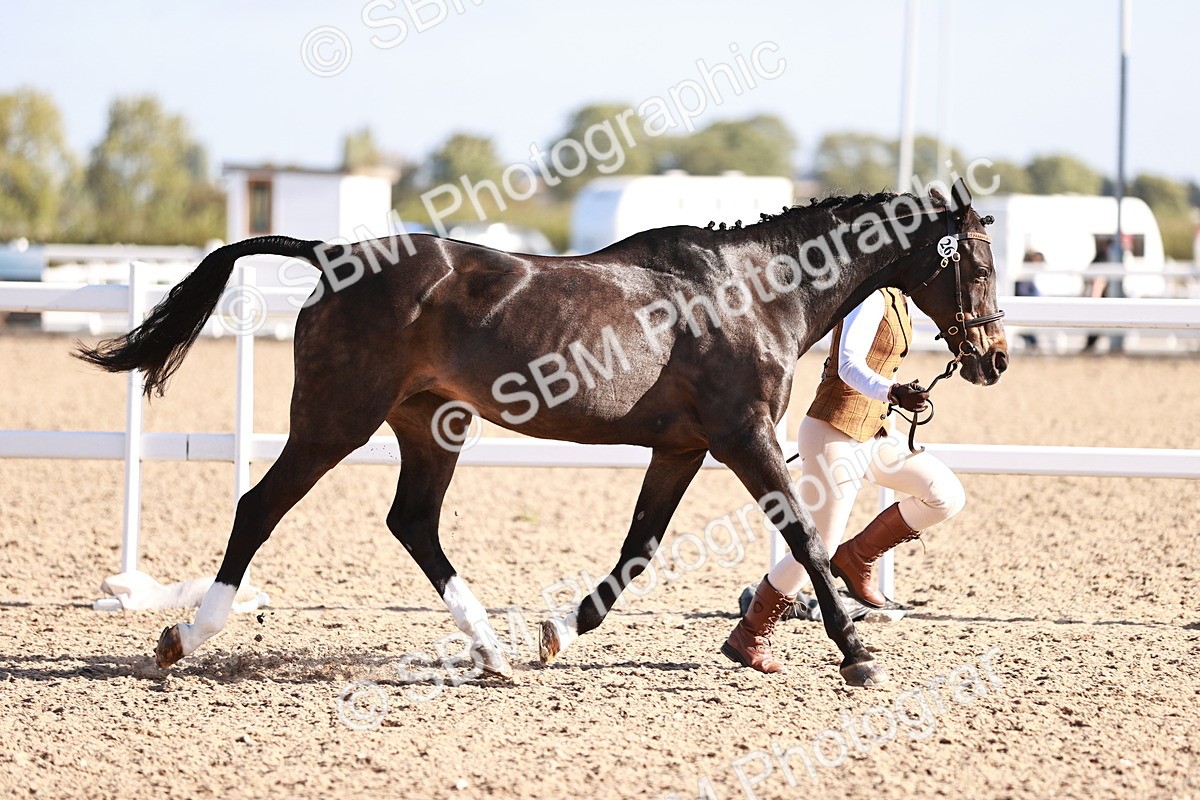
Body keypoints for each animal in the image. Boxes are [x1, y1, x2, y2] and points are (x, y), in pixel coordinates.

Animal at [76, 177, 1007, 686]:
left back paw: (492, 650)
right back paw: (184, 636)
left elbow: (639, 547)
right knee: (260, 508)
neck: (755, 289)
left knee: (412, 523)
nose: (993, 357)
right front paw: (856, 654)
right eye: (977, 262)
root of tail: (332, 253)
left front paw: (561, 629)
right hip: (335, 421)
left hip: (432, 425)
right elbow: (806, 540)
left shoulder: (682, 446)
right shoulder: (742, 436)